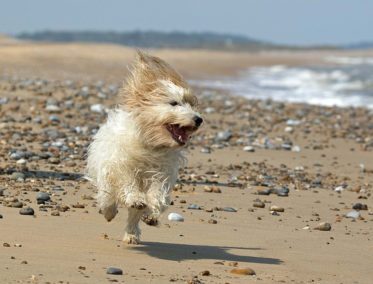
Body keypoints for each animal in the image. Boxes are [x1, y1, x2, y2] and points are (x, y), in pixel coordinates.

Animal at [86, 51, 202, 244]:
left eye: (191, 104)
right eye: (174, 103)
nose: (199, 119)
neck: (151, 142)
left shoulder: (162, 172)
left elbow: (158, 194)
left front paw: (152, 214)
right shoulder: (121, 164)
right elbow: (127, 182)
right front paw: (134, 198)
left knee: (134, 213)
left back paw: (133, 232)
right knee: (107, 195)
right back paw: (109, 210)